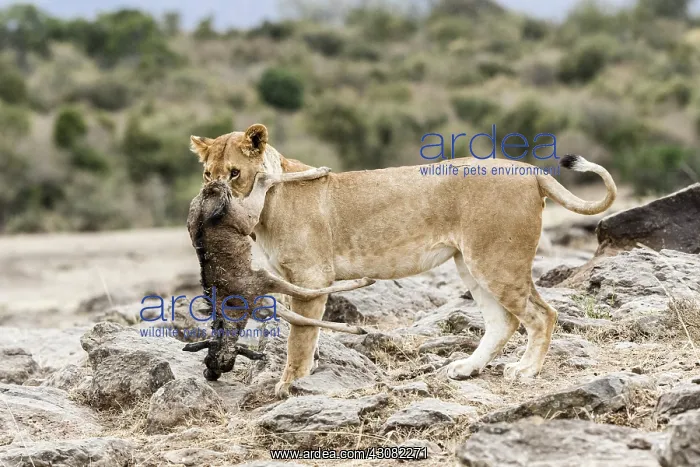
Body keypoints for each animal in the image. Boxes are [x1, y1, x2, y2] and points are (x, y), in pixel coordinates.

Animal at [189, 123, 617, 398]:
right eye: (208, 174)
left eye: (234, 173)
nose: (212, 198)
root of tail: (530, 170)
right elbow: (303, 332)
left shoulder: (310, 277)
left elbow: (300, 336)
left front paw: (290, 384)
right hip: (470, 263)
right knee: (503, 321)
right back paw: (467, 368)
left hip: (496, 260)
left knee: (542, 314)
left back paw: (526, 370)